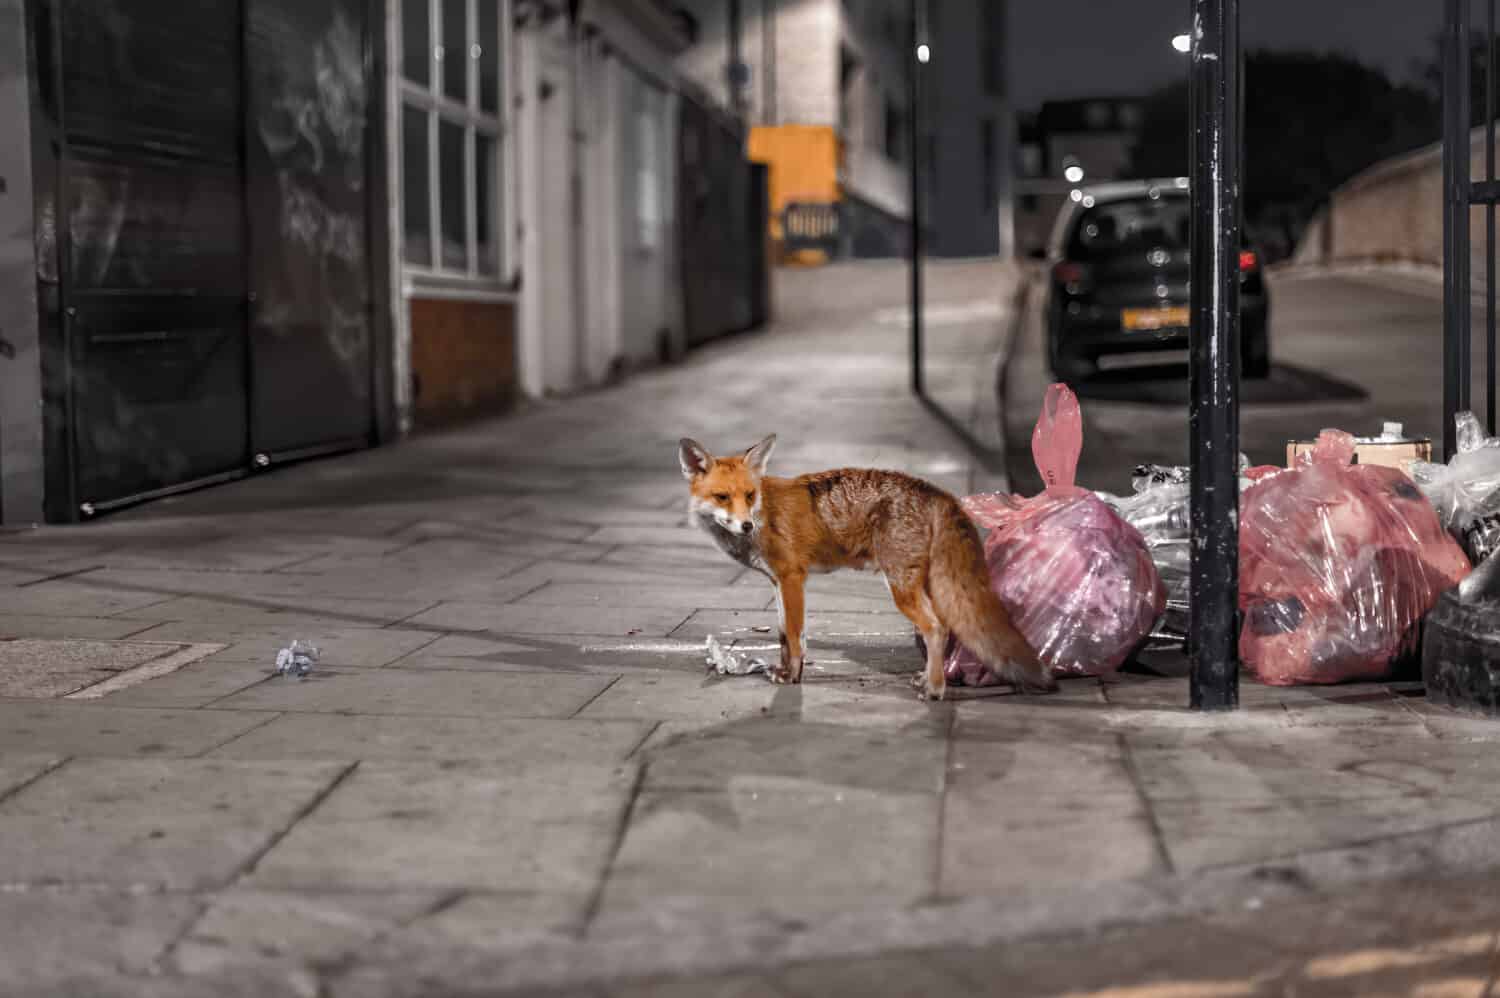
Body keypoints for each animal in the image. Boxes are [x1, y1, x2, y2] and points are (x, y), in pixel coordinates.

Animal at [675, 435, 1050, 699]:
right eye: (723, 497)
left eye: (749, 495)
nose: (747, 525)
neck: (764, 512)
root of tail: (936, 490)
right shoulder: (778, 582)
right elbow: (786, 635)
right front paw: (788, 672)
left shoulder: (792, 577)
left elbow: (793, 637)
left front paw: (792, 677)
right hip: (927, 585)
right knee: (947, 628)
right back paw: (930, 678)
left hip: (901, 587)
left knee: (935, 628)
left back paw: (935, 690)